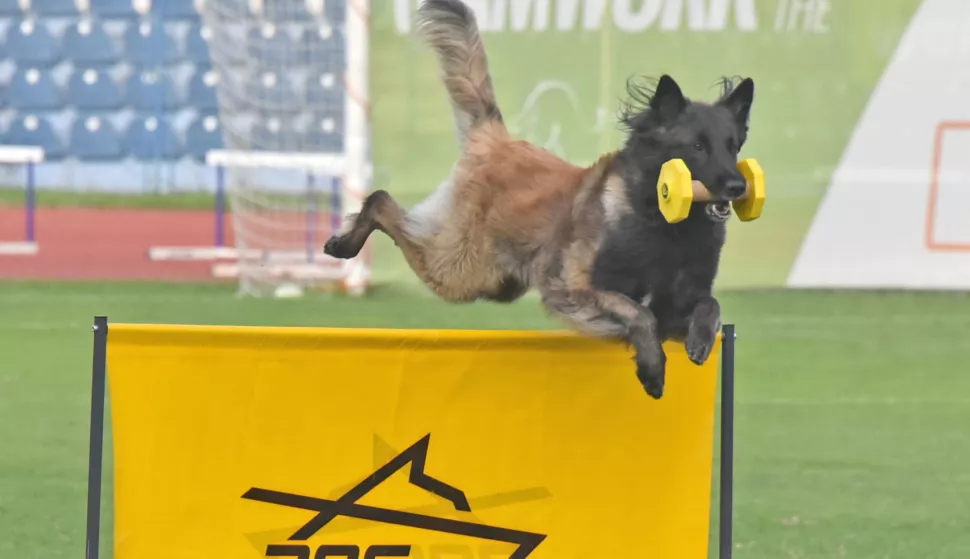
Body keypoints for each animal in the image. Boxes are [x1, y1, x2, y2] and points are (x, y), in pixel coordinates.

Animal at [322, 0, 752, 398]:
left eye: (732, 146)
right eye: (697, 147)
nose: (737, 187)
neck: (663, 224)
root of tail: (498, 142)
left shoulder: (674, 304)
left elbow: (708, 305)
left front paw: (701, 338)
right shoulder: (576, 286)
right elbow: (639, 313)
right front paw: (652, 368)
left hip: (496, 283)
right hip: (460, 271)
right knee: (381, 201)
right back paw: (346, 243)